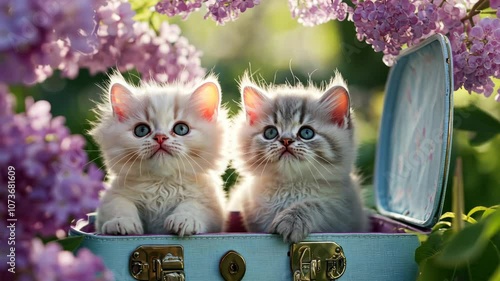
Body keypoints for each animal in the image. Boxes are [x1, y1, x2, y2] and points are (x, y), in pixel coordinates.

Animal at [90, 71, 229, 234]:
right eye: (141, 130)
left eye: (181, 129)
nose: (160, 137)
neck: (162, 185)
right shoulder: (112, 196)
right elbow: (120, 205)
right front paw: (121, 222)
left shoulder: (211, 205)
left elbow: (192, 205)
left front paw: (184, 219)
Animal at [229, 71, 368, 241]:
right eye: (270, 132)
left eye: (306, 133)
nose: (286, 140)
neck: (291, 188)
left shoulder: (344, 211)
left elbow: (317, 204)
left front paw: (291, 219)